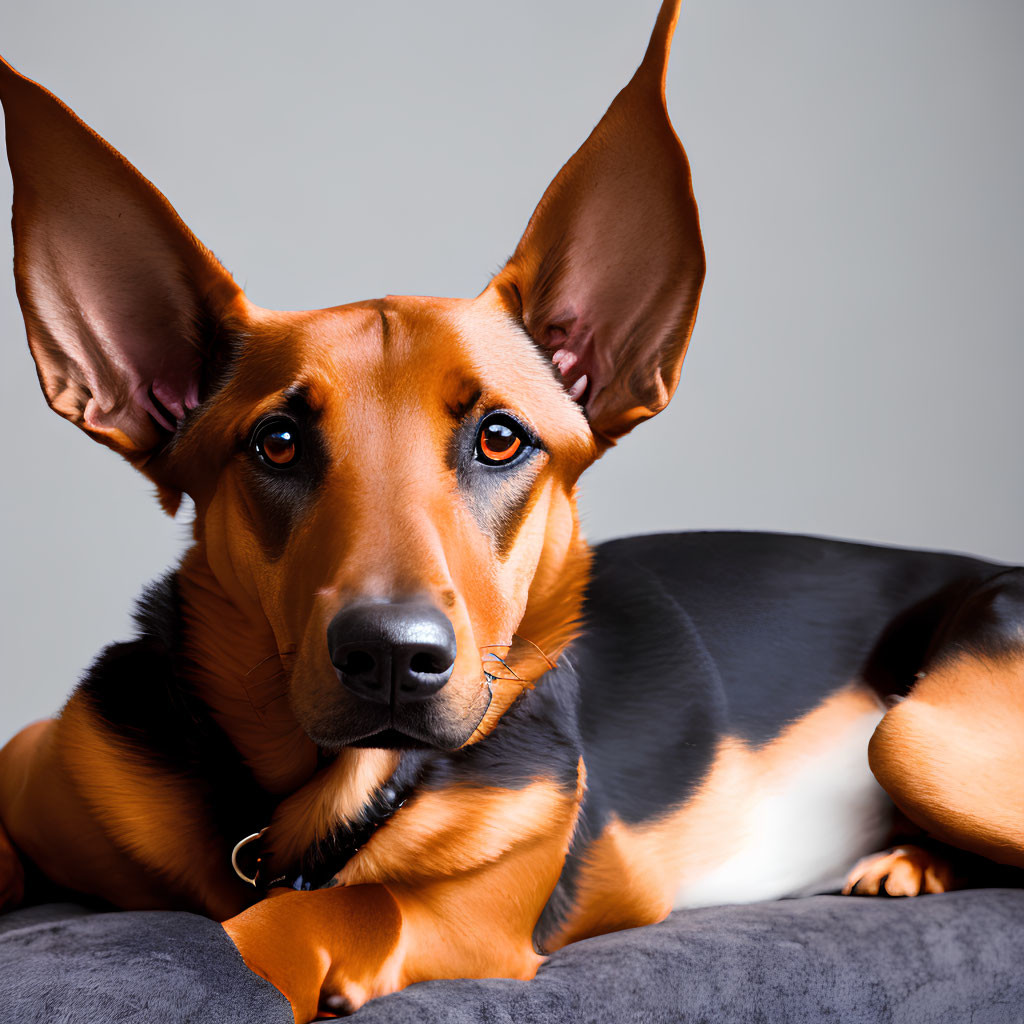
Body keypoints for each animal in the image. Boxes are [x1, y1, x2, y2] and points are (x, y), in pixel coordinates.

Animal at [0, 0, 1019, 1019]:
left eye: (500, 438)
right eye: (276, 443)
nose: (393, 658)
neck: (295, 809)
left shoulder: (463, 913)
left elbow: (307, 920)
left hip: (914, 737)